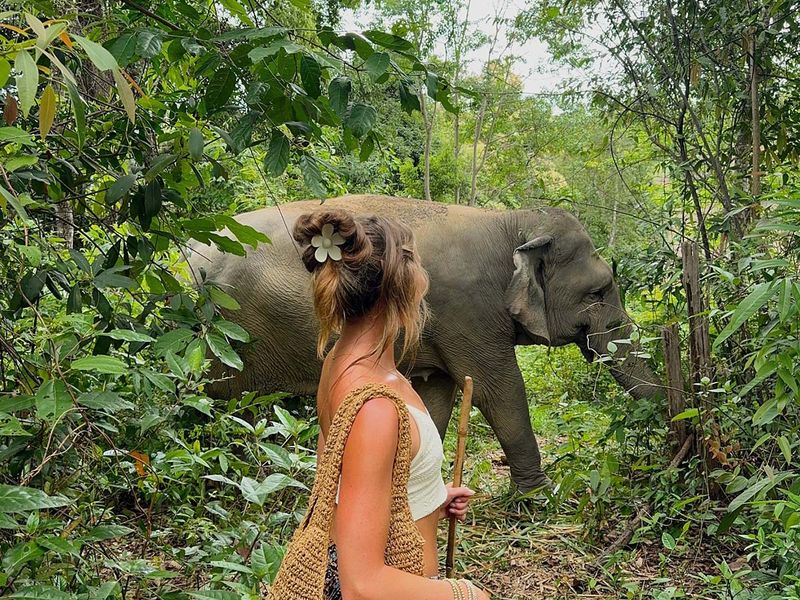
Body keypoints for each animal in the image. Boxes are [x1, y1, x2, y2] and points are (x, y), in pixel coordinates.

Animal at [187, 194, 662, 492]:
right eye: (598, 292)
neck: (511, 222)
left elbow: (437, 395)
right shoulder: (468, 312)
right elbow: (499, 390)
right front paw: (540, 496)